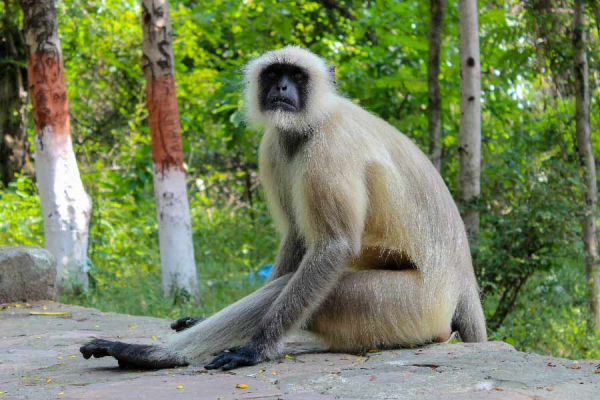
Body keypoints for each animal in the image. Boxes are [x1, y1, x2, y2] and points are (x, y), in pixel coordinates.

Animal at [79, 46, 486, 372]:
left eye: (297, 76)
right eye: (274, 75)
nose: (282, 89)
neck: (309, 125)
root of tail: (463, 281)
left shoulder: (329, 148)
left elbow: (333, 245)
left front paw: (254, 349)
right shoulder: (275, 144)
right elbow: (297, 236)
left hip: (409, 306)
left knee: (300, 289)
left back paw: (151, 355)